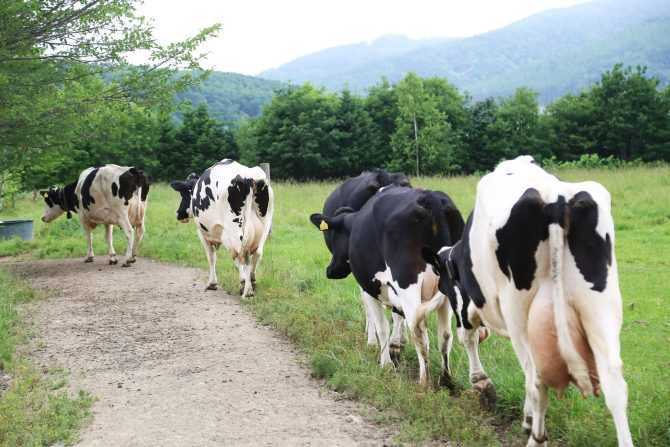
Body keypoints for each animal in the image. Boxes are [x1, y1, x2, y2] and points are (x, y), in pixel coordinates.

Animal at [170, 159, 274, 298]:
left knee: (241, 254)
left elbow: (211, 257)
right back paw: (251, 281)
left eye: (183, 193)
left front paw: (212, 284)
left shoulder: (203, 234)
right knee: (256, 253)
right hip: (265, 225)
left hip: (234, 229)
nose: (178, 213)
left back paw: (247, 290)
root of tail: (247, 176)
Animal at [420, 156, 632, 446]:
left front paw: (482, 383)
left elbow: (468, 336)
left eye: (443, 280)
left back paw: (536, 436)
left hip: (519, 315)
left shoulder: (465, 302)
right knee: (614, 382)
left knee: (537, 380)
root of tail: (556, 200)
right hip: (601, 307)